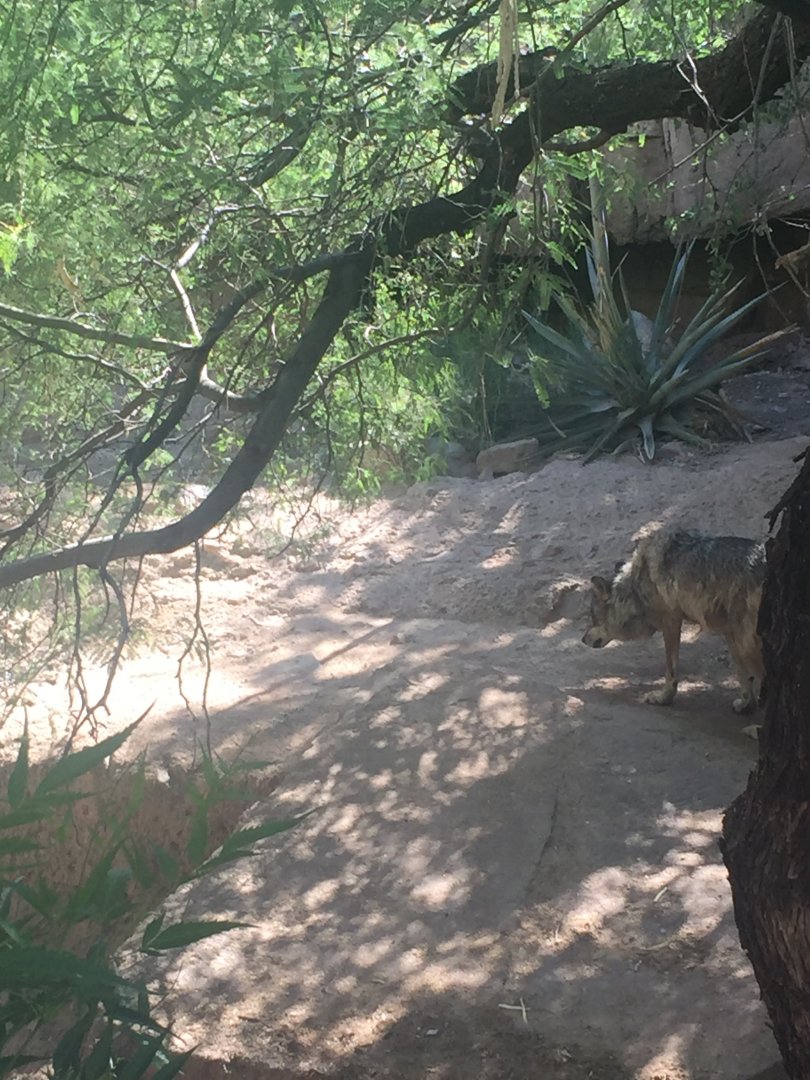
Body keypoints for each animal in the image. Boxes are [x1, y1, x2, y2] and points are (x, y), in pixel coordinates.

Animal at [582, 527, 766, 713]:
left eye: (592, 616)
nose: (582, 639)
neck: (636, 587)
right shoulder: (729, 631)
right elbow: (742, 673)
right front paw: (746, 703)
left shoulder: (670, 621)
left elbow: (671, 669)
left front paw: (663, 698)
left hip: (747, 646)